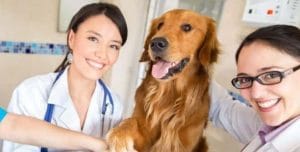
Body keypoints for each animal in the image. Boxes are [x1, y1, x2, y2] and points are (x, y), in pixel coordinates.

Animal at [106, 9, 219, 152]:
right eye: (160, 25)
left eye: (187, 27)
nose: (155, 43)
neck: (169, 92)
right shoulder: (144, 133)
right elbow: (131, 121)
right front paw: (119, 134)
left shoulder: (184, 143)